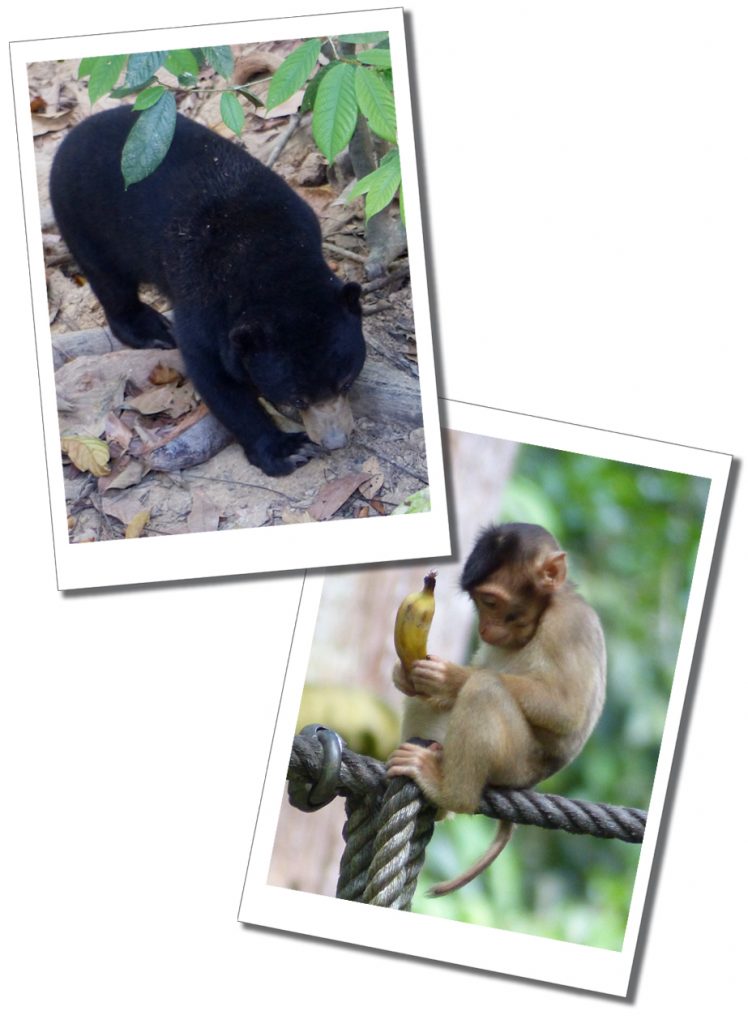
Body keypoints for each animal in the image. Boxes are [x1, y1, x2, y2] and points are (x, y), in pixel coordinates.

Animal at [49, 105, 366, 476]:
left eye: (345, 382)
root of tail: (73, 134)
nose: (335, 441)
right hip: (85, 222)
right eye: (296, 398)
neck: (271, 256)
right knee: (111, 283)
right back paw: (152, 330)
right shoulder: (204, 302)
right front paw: (287, 450)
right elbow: (213, 375)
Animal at [387, 522, 606, 897]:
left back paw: (450, 792)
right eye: (478, 603)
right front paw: (404, 675)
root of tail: (529, 783)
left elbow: (568, 709)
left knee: (484, 690)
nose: (484, 628)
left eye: (491, 601)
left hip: (516, 763)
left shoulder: (570, 624)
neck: (546, 611)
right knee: (432, 700)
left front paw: (451, 677)